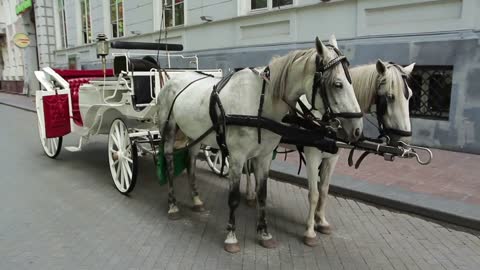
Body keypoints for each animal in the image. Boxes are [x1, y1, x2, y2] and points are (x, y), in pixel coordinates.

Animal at [156, 35, 362, 253]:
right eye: (338, 84)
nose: (358, 129)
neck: (260, 102)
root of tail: (173, 79)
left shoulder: (264, 156)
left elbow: (262, 194)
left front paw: (264, 233)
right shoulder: (237, 157)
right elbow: (233, 197)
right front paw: (231, 237)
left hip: (194, 134)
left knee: (191, 162)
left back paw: (196, 200)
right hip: (169, 129)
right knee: (169, 162)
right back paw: (173, 206)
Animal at [246, 59, 414, 247]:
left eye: (410, 95)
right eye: (390, 97)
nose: (405, 143)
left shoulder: (332, 157)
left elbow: (324, 190)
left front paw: (321, 221)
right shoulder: (313, 156)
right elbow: (313, 194)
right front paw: (310, 231)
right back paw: (250, 195)